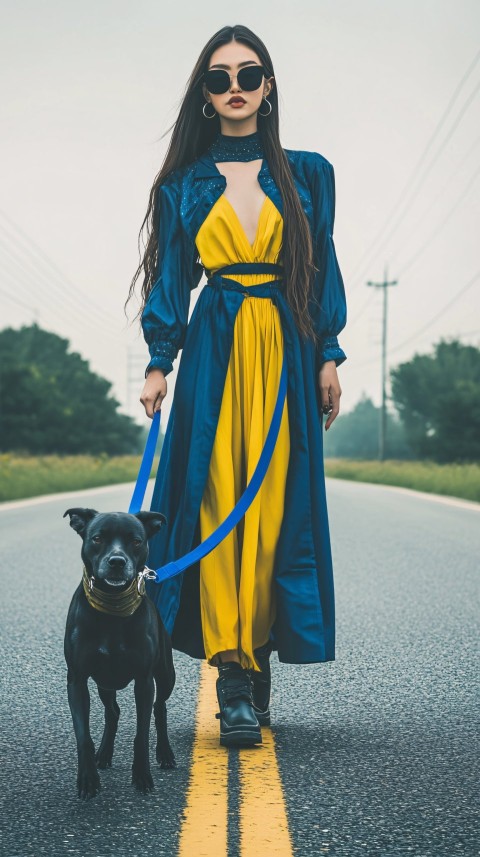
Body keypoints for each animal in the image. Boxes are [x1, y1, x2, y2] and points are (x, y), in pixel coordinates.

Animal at [63, 504, 175, 800]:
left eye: (136, 541)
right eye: (97, 538)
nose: (116, 561)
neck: (112, 606)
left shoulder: (144, 681)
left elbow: (142, 733)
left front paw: (142, 776)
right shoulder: (77, 680)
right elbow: (83, 735)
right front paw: (87, 779)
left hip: (165, 676)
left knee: (160, 708)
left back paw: (165, 753)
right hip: (105, 682)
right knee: (112, 712)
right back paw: (104, 754)